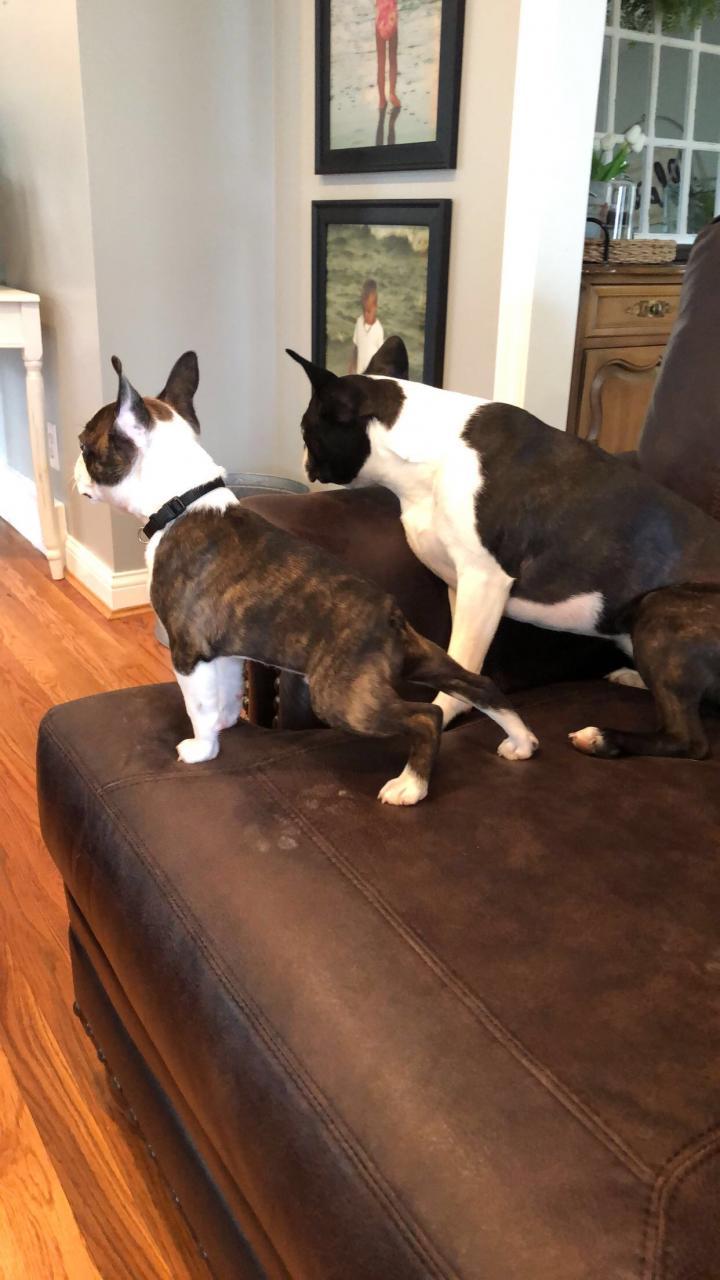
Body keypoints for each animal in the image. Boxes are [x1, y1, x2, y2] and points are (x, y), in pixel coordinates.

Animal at [74, 353, 538, 806]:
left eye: (83, 444)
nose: (74, 469)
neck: (183, 500)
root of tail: (389, 619)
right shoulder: (224, 651)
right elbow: (225, 694)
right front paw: (226, 725)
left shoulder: (188, 650)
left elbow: (198, 706)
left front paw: (201, 749)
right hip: (424, 657)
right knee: (479, 684)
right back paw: (522, 742)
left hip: (342, 699)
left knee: (429, 715)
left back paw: (411, 785)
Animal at [288, 337, 720, 761]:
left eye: (306, 431)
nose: (303, 458)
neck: (427, 455)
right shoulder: (459, 586)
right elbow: (460, 657)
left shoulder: (483, 581)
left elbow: (463, 660)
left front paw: (443, 712)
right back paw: (631, 677)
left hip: (659, 609)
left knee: (690, 740)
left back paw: (603, 737)